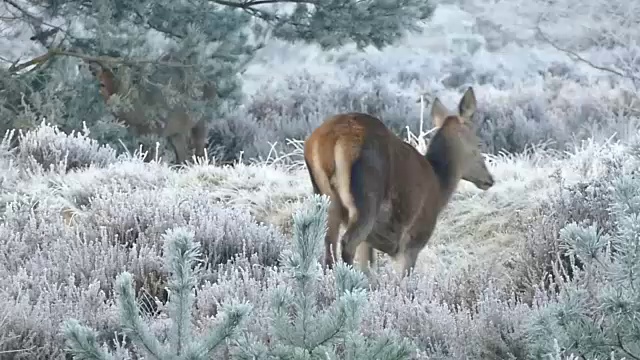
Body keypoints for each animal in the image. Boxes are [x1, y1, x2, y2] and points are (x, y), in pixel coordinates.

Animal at [80, 57, 212, 165]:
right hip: (177, 133)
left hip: (200, 123)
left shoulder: (157, 130)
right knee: (184, 158)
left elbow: (151, 157)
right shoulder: (141, 134)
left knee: (199, 152)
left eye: (116, 69)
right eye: (101, 82)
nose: (113, 100)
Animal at [304, 86, 496, 276]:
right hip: (366, 199)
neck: (439, 185)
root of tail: (330, 140)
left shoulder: (370, 242)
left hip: (325, 198)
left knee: (328, 246)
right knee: (347, 242)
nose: (489, 179)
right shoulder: (413, 241)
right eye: (478, 144)